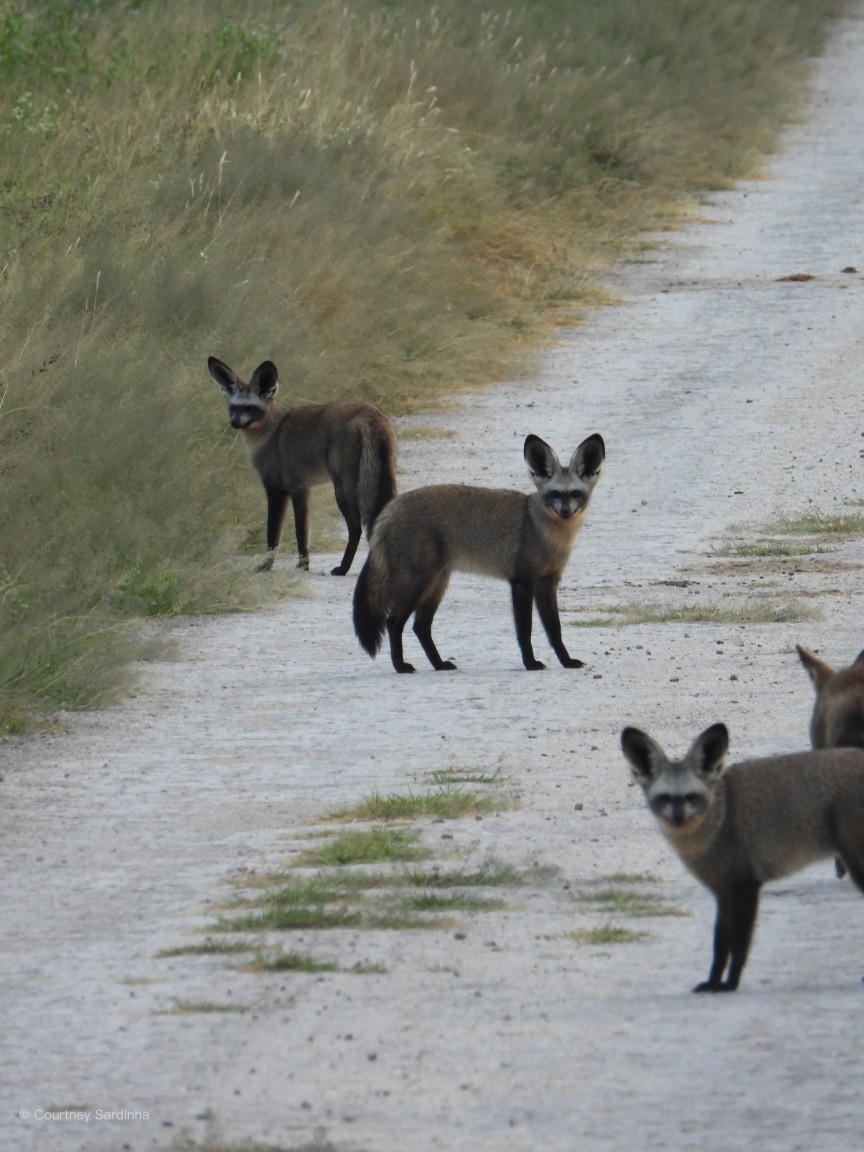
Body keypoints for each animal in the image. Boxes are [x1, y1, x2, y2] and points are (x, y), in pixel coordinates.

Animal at [208, 356, 397, 575]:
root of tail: (369, 412)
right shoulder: (301, 489)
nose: (234, 423)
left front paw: (268, 566)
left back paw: (343, 568)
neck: (270, 433)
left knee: (356, 529)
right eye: (234, 407)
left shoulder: (277, 490)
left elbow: (274, 537)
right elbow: (303, 535)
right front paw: (303, 566)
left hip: (342, 491)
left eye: (249, 408)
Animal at [352, 432, 605, 673]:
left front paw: (566, 661)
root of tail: (389, 509)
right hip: (419, 583)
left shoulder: (547, 583)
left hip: (436, 584)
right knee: (393, 622)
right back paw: (401, 666)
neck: (543, 533)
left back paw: (439, 664)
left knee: (420, 627)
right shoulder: (522, 582)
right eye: (555, 494)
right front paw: (530, 663)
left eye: (575, 494)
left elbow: (555, 630)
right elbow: (525, 631)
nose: (565, 512)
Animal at [621, 721, 864, 992]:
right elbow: (719, 946)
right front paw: (713, 983)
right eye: (664, 798)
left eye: (691, 797)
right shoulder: (723, 894)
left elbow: (739, 946)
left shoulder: (746, 886)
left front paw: (730, 985)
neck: (718, 821)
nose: (678, 817)